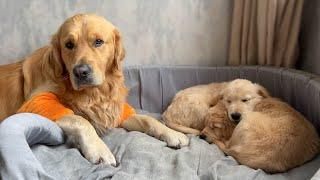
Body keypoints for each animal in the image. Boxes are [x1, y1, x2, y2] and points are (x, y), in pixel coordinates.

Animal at [0, 13, 189, 166]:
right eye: (69, 44)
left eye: (98, 42)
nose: (81, 72)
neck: (94, 93)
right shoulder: (36, 101)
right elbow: (80, 120)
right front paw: (99, 150)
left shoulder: (116, 111)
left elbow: (148, 120)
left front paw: (172, 133)